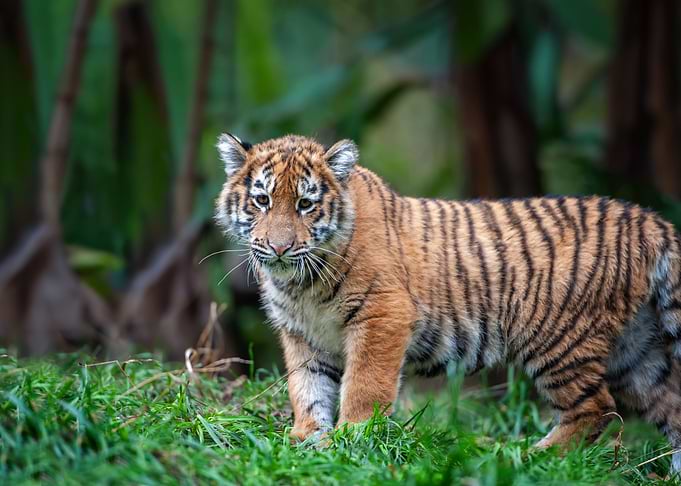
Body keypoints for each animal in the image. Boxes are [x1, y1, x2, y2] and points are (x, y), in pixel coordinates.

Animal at [215, 133, 681, 471]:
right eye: (262, 200)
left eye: (306, 204)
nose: (278, 248)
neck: (300, 283)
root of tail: (650, 220)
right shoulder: (302, 334)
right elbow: (307, 387)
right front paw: (305, 438)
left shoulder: (383, 314)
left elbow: (364, 384)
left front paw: (352, 438)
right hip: (638, 352)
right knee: (669, 406)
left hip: (561, 341)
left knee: (597, 409)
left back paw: (526, 458)